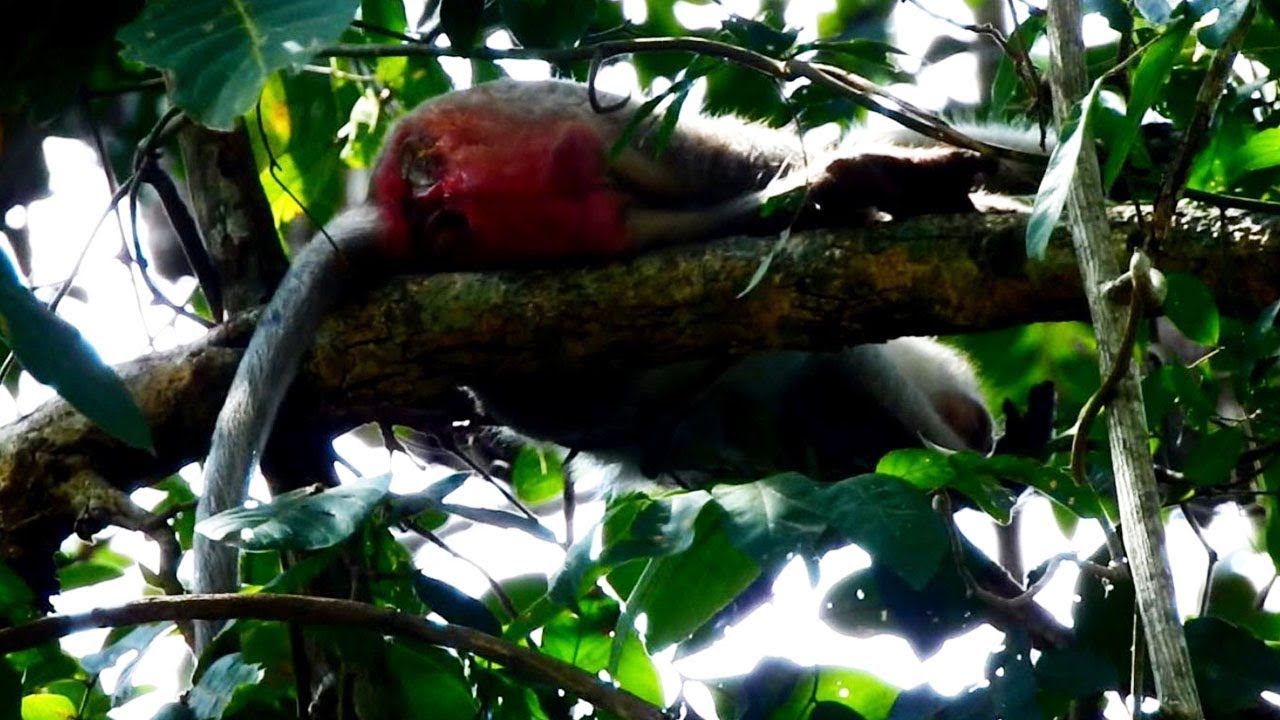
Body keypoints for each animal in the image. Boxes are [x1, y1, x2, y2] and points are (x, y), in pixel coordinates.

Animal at [195, 78, 1002, 647]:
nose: (983, 429)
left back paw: (825, 195)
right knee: (696, 151)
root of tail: (393, 198)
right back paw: (869, 179)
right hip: (529, 121)